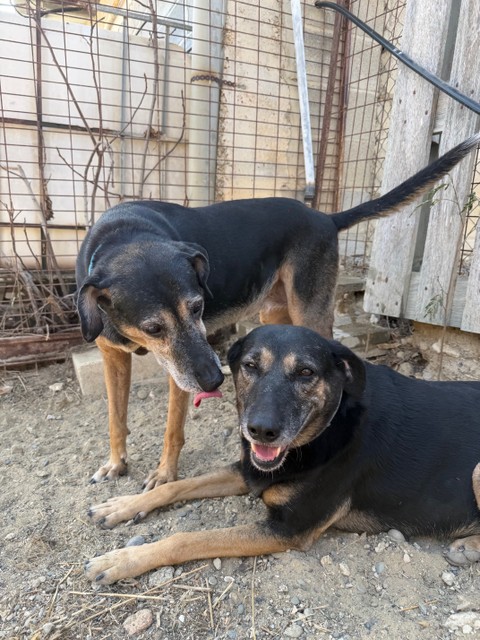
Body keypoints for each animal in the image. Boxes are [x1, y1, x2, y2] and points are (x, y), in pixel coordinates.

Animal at [76, 133, 480, 490]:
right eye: (153, 328)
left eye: (198, 307)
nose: (215, 381)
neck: (124, 235)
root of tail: (325, 218)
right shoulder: (114, 356)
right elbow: (115, 417)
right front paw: (116, 463)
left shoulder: (183, 370)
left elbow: (172, 428)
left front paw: (164, 475)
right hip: (274, 314)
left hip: (309, 309)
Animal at [85, 324, 480, 584]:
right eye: (249, 366)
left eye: (306, 372)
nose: (260, 430)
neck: (327, 428)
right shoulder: (249, 471)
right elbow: (174, 487)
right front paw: (121, 506)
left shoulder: (288, 528)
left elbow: (187, 539)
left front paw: (123, 559)